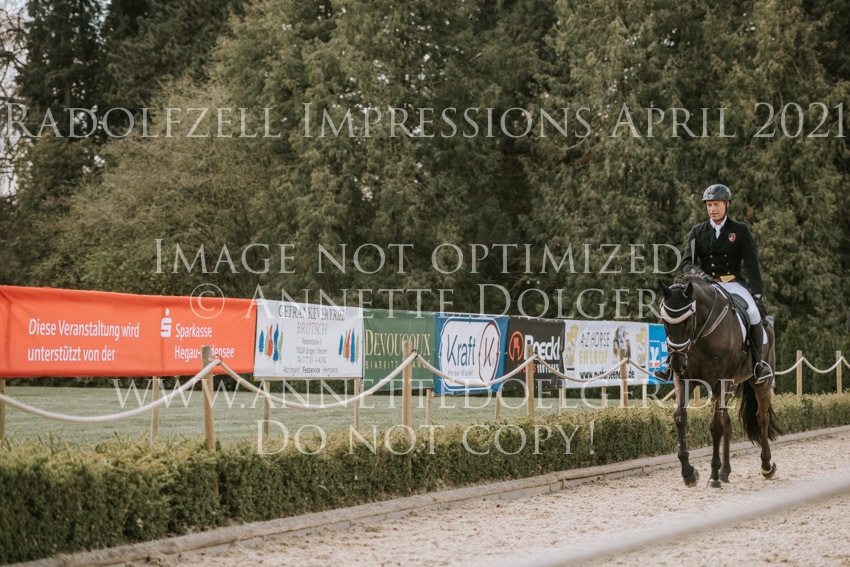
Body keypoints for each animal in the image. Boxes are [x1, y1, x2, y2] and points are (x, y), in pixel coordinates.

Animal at [660, 274, 781, 488]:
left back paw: (766, 466)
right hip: (732, 385)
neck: (702, 334)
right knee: (729, 422)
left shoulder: (720, 382)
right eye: (665, 322)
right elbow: (680, 418)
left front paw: (713, 475)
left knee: (761, 417)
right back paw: (726, 472)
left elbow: (715, 427)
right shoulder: (684, 379)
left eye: (687, 321)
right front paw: (689, 473)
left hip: (760, 382)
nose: (676, 363)